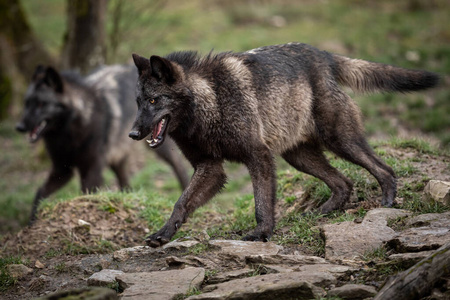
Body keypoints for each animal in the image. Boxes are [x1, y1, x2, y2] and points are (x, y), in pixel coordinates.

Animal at [16, 63, 189, 223]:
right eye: (26, 103)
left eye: (41, 104)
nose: (19, 127)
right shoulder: (62, 170)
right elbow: (40, 192)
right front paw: (32, 220)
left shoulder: (91, 170)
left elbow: (87, 193)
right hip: (116, 159)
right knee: (125, 183)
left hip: (159, 148)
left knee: (179, 166)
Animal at [128, 42, 438, 248]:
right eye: (138, 102)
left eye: (154, 100)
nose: (132, 133)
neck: (210, 102)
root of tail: (323, 55)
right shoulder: (211, 168)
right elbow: (181, 203)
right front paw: (163, 234)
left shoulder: (259, 156)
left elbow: (262, 203)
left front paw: (262, 233)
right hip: (299, 157)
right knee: (344, 183)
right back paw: (320, 213)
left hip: (342, 142)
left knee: (384, 170)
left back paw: (387, 203)